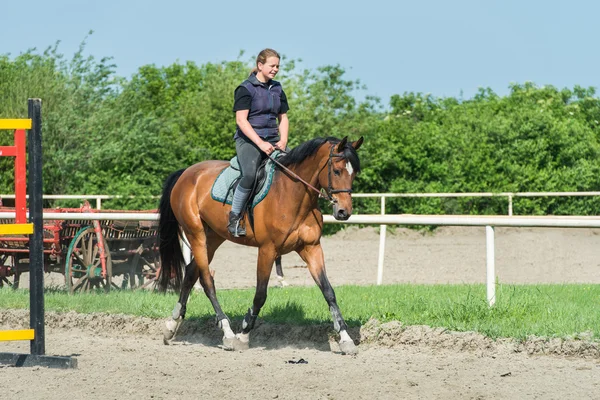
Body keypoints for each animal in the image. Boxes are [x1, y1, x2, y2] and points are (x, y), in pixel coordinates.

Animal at [158, 137, 360, 354]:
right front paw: (243, 335)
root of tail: (186, 172)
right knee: (206, 280)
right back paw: (227, 332)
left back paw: (171, 325)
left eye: (354, 173)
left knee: (190, 272)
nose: (344, 212)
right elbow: (260, 294)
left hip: (212, 238)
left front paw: (346, 338)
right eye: (337, 171)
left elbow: (329, 292)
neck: (293, 195)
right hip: (196, 235)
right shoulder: (267, 250)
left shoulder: (311, 247)